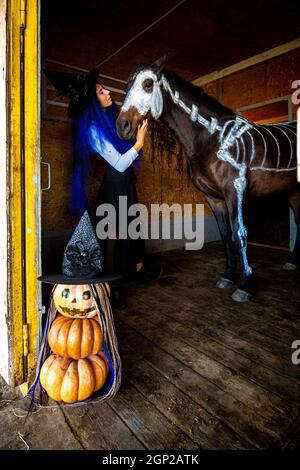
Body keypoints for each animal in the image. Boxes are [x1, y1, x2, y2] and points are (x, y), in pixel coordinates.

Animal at [116, 57, 298, 302]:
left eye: (147, 84)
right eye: (126, 86)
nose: (122, 126)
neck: (212, 138)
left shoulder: (235, 189)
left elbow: (240, 232)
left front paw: (246, 285)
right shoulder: (214, 198)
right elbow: (225, 234)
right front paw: (228, 275)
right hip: (293, 192)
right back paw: (292, 262)